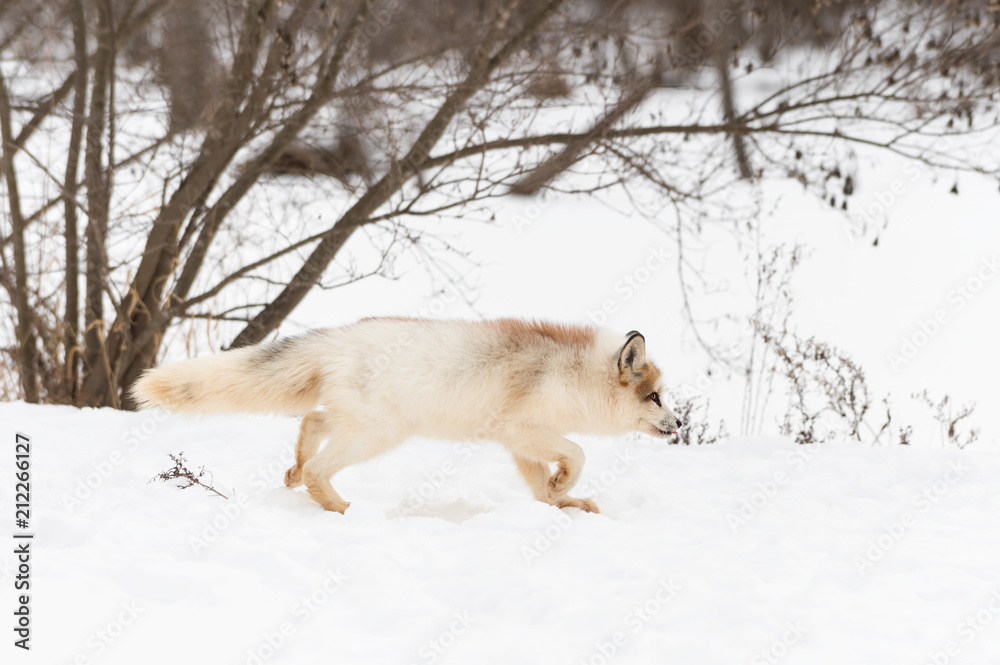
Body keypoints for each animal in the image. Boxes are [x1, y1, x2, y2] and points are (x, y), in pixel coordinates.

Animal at [132, 318, 682, 514]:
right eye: (656, 398)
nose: (680, 426)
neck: (575, 374)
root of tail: (341, 337)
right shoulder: (520, 429)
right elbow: (579, 454)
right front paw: (564, 487)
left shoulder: (516, 442)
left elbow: (541, 488)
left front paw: (561, 502)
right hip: (378, 436)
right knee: (318, 470)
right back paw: (344, 512)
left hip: (364, 425)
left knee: (311, 425)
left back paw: (294, 471)